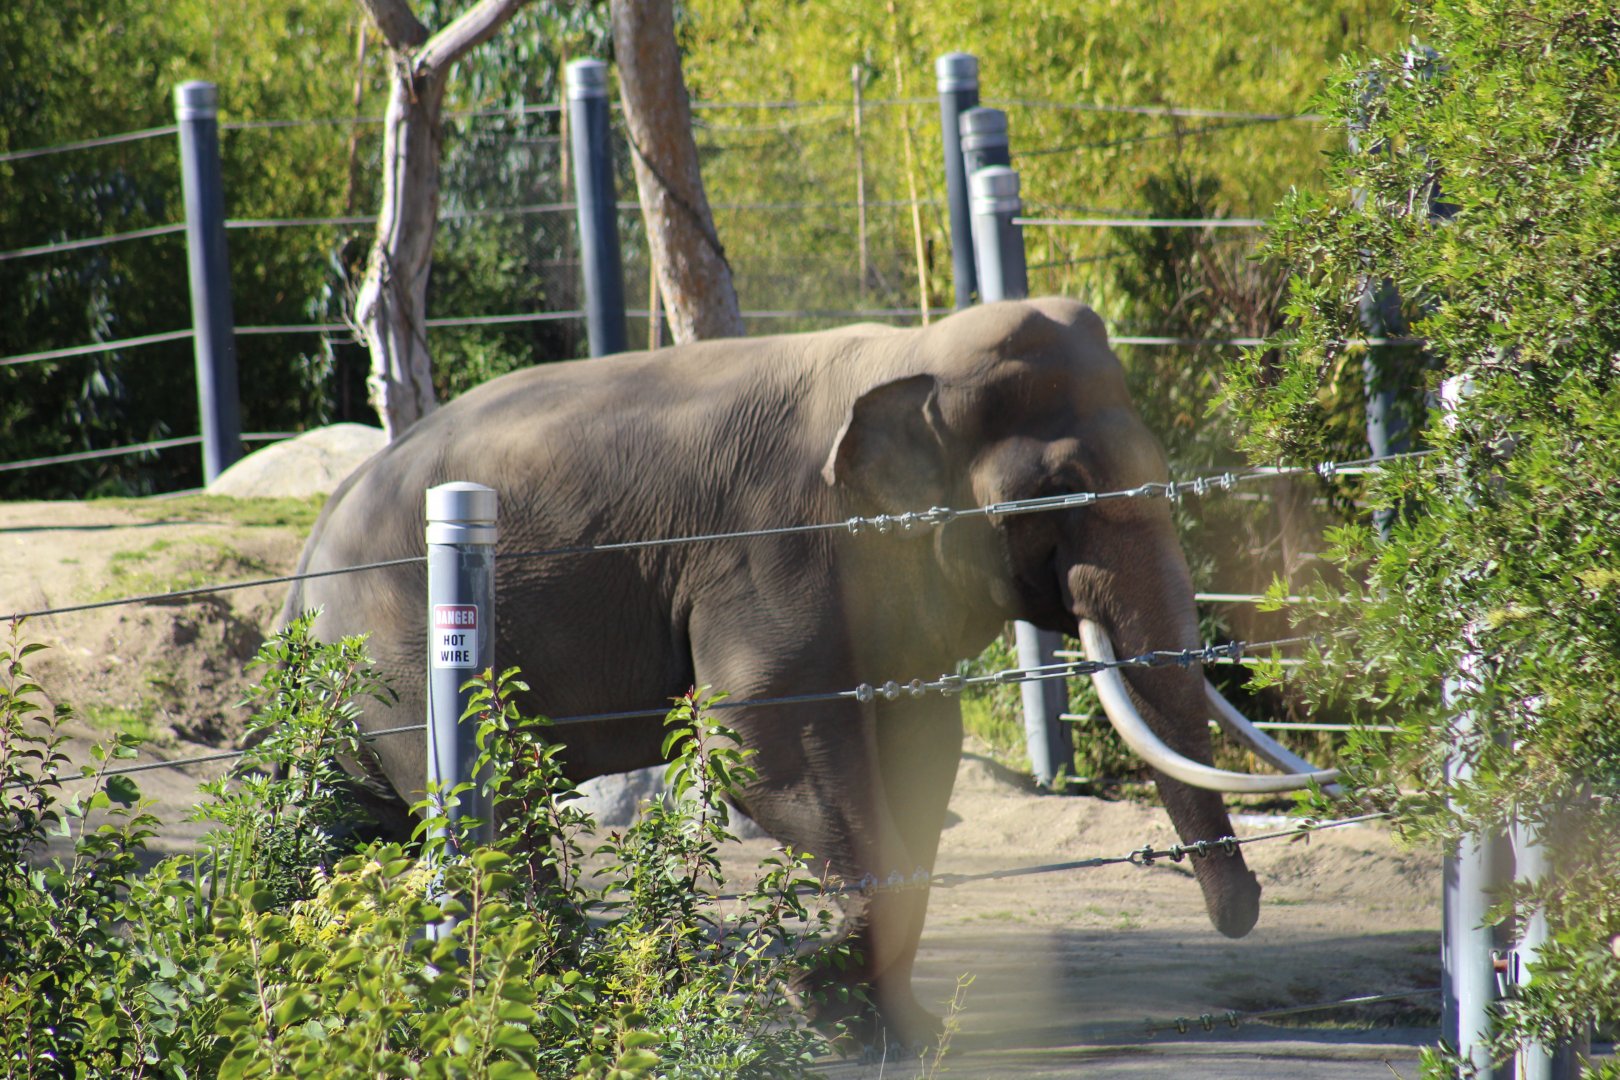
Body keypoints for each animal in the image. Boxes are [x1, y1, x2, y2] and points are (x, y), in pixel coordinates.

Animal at [284, 297, 1278, 1044]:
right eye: (1058, 488)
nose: (1244, 913)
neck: (908, 351)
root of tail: (309, 552)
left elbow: (922, 745)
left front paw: (896, 1030)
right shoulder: (771, 546)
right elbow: (764, 738)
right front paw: (822, 1004)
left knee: (359, 819)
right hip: (404, 650)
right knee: (496, 803)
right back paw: (562, 1002)